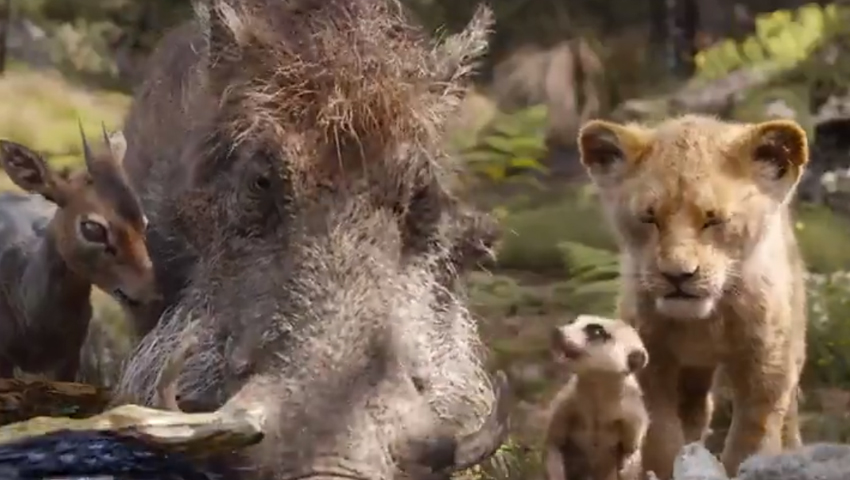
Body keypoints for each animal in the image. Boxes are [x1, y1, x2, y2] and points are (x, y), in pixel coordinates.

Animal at [576, 114, 808, 479]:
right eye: (649, 217)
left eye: (714, 220)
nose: (677, 275)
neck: (707, 320)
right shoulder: (651, 360)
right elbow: (661, 437)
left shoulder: (766, 365)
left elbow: (752, 438)